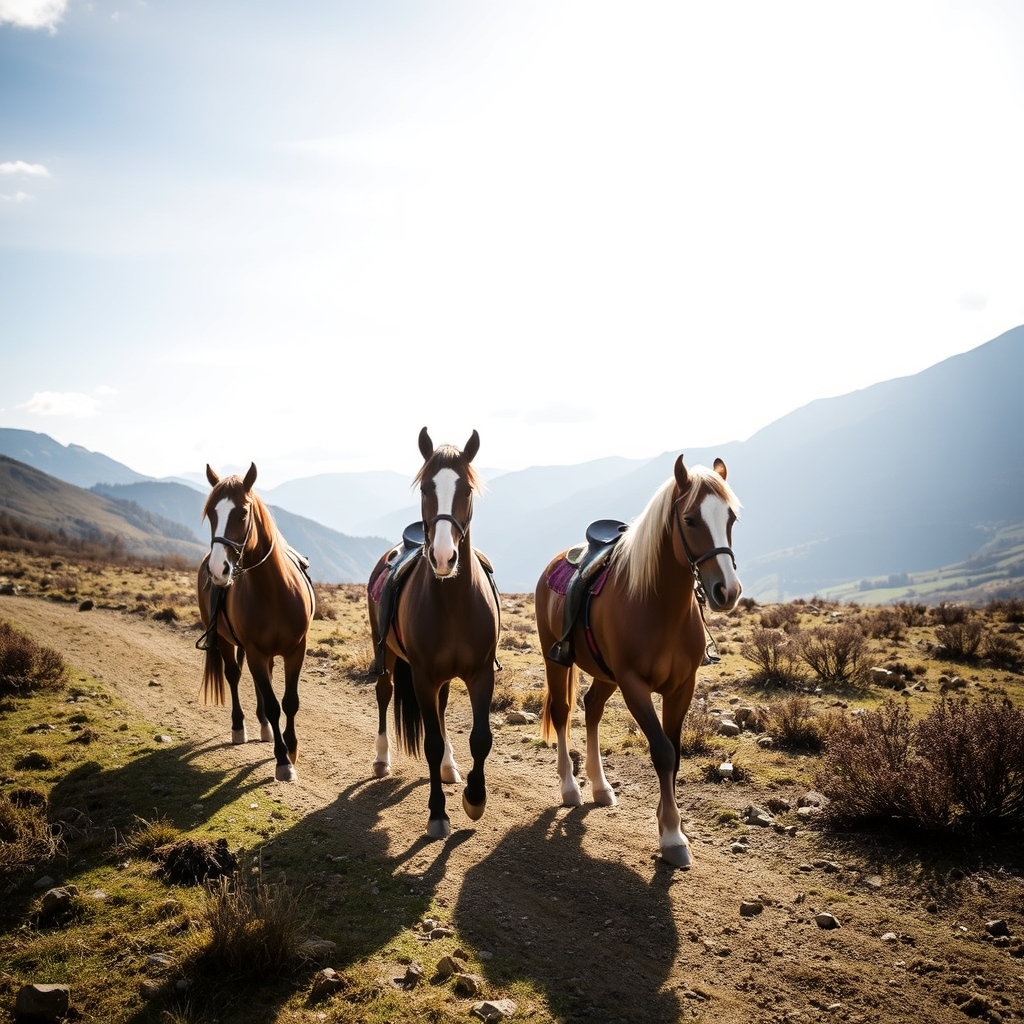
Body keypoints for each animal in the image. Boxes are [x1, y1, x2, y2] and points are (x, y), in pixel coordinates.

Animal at [196, 462, 315, 782]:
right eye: (212, 514)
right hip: (227, 643)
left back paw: (264, 729)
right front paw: (283, 761)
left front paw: (292, 748)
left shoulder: (296, 650)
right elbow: (274, 705)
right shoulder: (255, 651)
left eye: (242, 513)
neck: (274, 590)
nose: (218, 570)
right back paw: (240, 727)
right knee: (234, 675)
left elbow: (289, 701)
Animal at [367, 427, 500, 839]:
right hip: (387, 656)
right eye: (426, 487)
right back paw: (382, 759)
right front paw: (438, 814)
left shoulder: (481, 674)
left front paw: (475, 799)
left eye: (467, 490)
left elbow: (480, 738)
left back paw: (449, 767)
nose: (443, 557)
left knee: (440, 710)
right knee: (384, 693)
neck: (454, 605)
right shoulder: (423, 676)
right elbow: (430, 742)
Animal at [535, 455, 742, 867]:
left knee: (592, 708)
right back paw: (570, 788)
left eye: (730, 518)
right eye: (690, 519)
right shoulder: (634, 685)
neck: (658, 605)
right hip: (558, 661)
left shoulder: (681, 688)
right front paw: (673, 836)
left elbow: (675, 754)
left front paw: (670, 824)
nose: (727, 591)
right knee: (564, 712)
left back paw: (601, 787)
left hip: (605, 675)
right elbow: (662, 751)